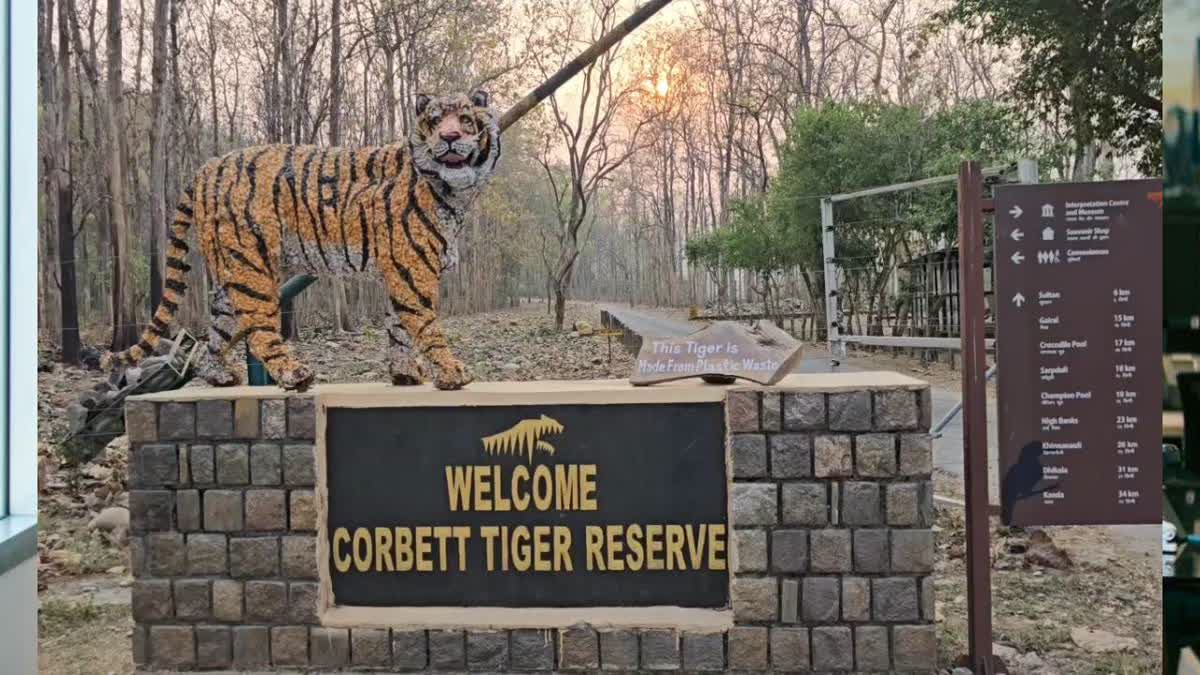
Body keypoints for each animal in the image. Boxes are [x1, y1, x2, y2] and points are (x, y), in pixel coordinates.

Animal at [104, 90, 500, 391]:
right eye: (435, 121)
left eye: (465, 119)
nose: (450, 137)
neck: (456, 192)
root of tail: (206, 167)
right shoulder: (412, 270)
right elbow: (425, 325)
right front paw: (452, 373)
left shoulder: (400, 270)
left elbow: (399, 329)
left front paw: (405, 374)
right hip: (251, 267)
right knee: (258, 329)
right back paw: (295, 375)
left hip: (228, 272)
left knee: (216, 333)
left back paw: (220, 376)